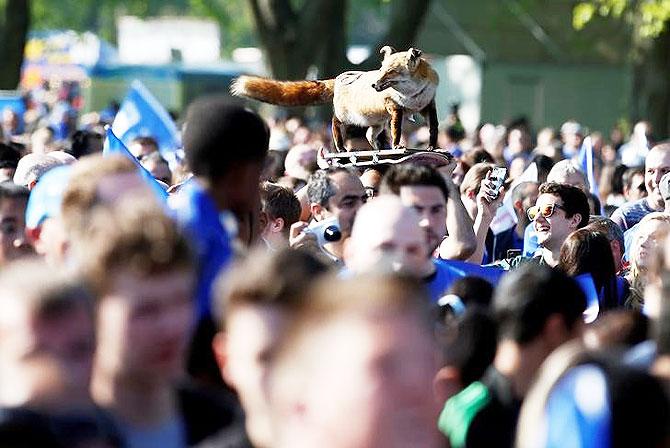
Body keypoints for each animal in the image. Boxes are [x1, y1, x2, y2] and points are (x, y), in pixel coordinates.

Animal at [231, 46, 440, 152]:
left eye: (391, 72)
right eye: (381, 70)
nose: (374, 85)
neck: (412, 96)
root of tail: (339, 78)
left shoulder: (427, 106)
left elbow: (433, 128)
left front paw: (433, 147)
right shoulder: (395, 108)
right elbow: (397, 129)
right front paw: (397, 145)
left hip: (376, 122)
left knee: (369, 135)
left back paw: (377, 149)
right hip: (349, 117)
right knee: (334, 123)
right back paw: (341, 147)